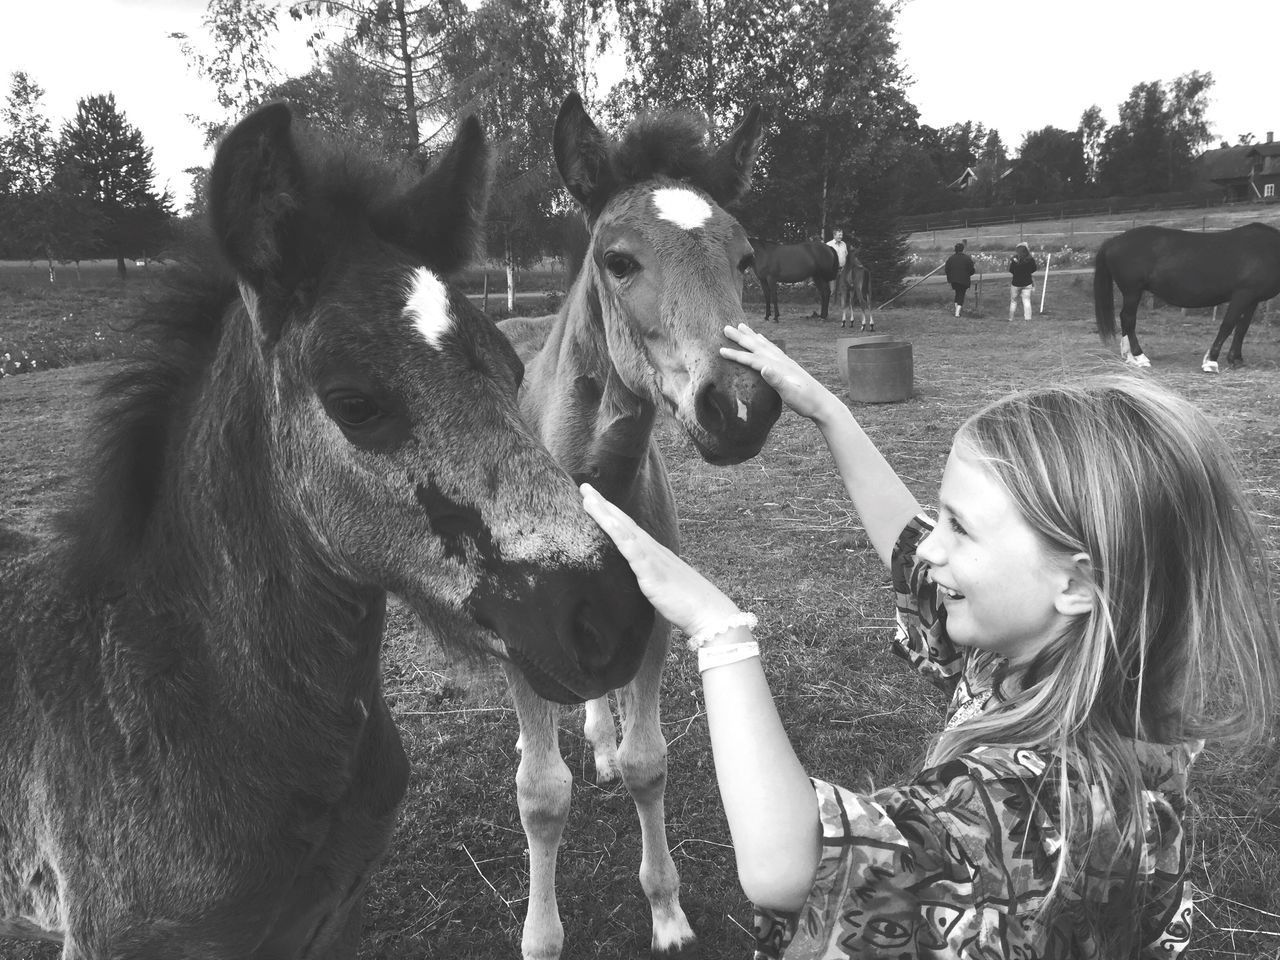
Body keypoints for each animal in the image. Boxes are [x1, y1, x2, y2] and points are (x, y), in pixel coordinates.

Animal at [496, 92, 778, 960]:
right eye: (618, 261)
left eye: (746, 259)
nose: (742, 407)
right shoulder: (522, 641)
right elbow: (541, 794)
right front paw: (541, 935)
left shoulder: (652, 619)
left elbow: (649, 761)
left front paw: (668, 914)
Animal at [1090, 224, 1280, 373]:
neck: (1267, 249)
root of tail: (1114, 240)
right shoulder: (1242, 295)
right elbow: (1227, 326)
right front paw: (1211, 362)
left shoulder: (1252, 299)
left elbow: (1242, 329)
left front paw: (1236, 360)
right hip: (1132, 292)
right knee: (1128, 318)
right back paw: (1140, 357)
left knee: (1125, 319)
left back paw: (1129, 356)